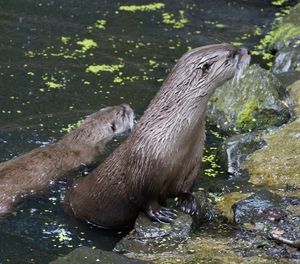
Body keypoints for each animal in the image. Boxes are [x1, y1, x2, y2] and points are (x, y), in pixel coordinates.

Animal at [67, 43, 251, 229]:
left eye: (232, 46)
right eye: (232, 54)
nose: (247, 51)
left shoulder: (194, 160)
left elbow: (187, 186)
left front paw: (188, 202)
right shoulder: (143, 169)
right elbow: (146, 198)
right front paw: (160, 213)